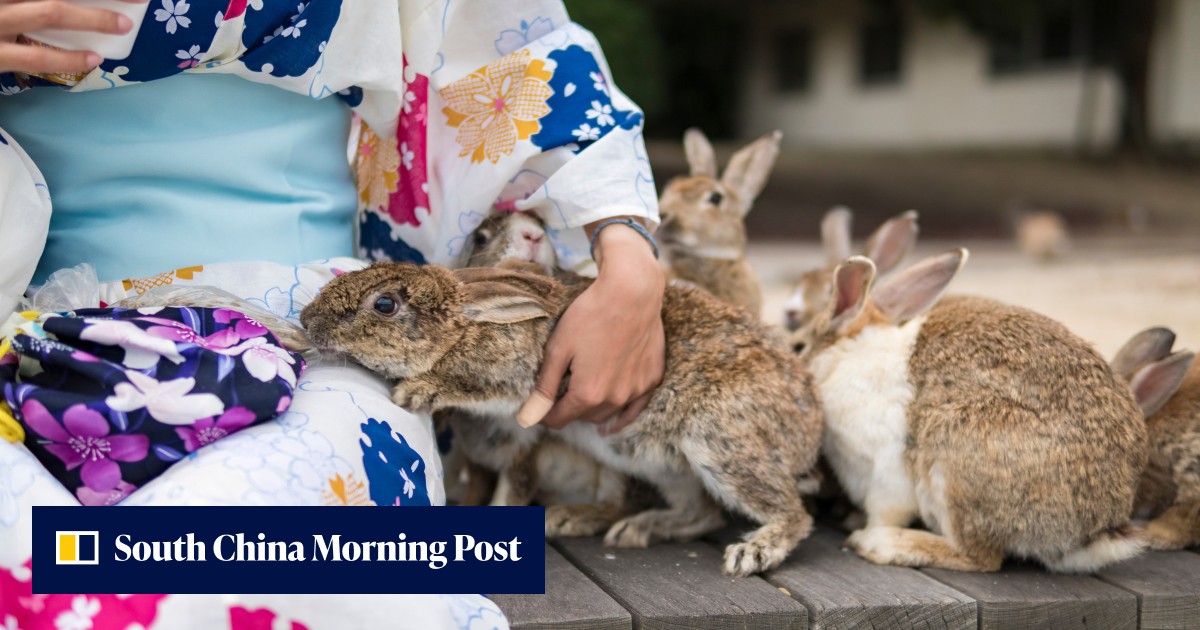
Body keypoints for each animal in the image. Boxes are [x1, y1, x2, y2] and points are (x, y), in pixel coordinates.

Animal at [300, 259, 824, 576]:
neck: (466, 324)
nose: (307, 321)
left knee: (792, 514)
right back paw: (632, 529)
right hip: (658, 462)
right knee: (702, 511)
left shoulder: (518, 379)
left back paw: (753, 551)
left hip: (717, 443)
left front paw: (419, 390)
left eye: (385, 304)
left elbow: (474, 388)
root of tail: (810, 432)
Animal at [790, 249, 1148, 573]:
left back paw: (880, 544)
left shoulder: (886, 471)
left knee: (980, 558)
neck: (843, 356)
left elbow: (885, 508)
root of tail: (1095, 532)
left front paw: (865, 530)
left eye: (797, 346)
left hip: (953, 454)